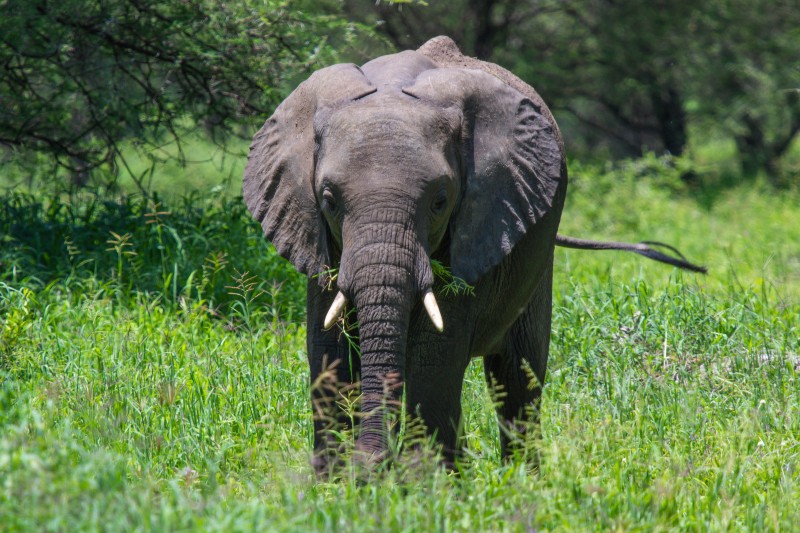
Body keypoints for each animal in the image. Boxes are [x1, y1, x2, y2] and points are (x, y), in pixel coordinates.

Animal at [241, 35, 704, 472]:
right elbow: (329, 351)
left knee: (518, 378)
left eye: (440, 201)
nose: (374, 462)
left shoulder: (483, 223)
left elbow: (433, 359)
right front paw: (339, 483)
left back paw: (519, 483)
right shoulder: (317, 235)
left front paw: (423, 484)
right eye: (329, 201)